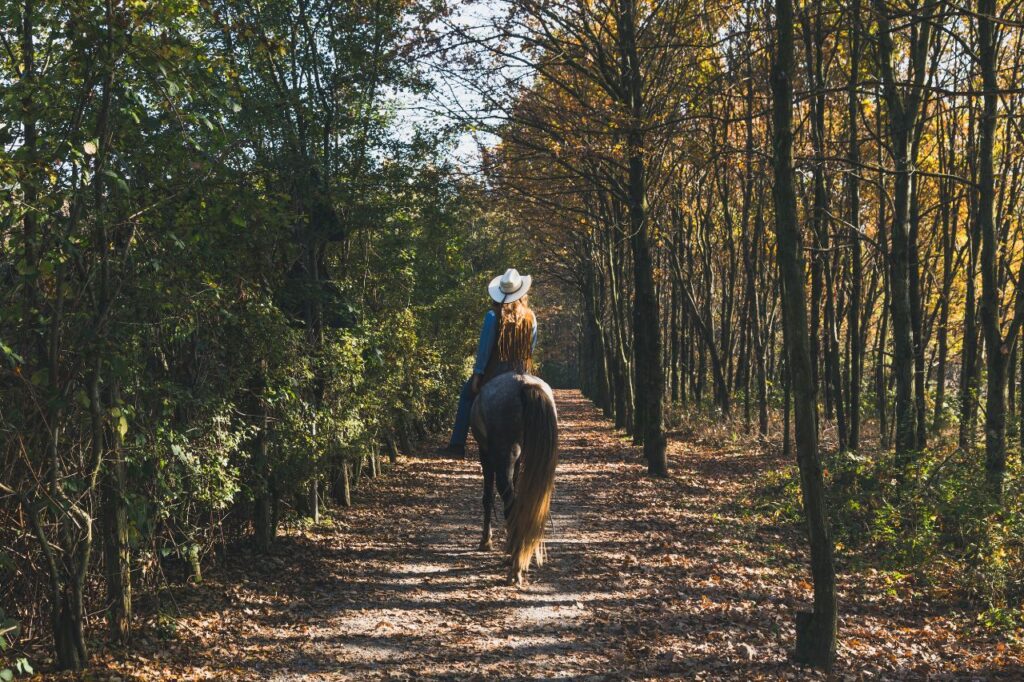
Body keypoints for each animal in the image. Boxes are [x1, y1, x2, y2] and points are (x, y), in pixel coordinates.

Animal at [470, 371, 559, 586]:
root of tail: (524, 384)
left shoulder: (486, 455)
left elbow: (487, 498)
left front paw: (486, 541)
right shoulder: (516, 462)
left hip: (503, 454)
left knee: (510, 501)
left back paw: (514, 567)